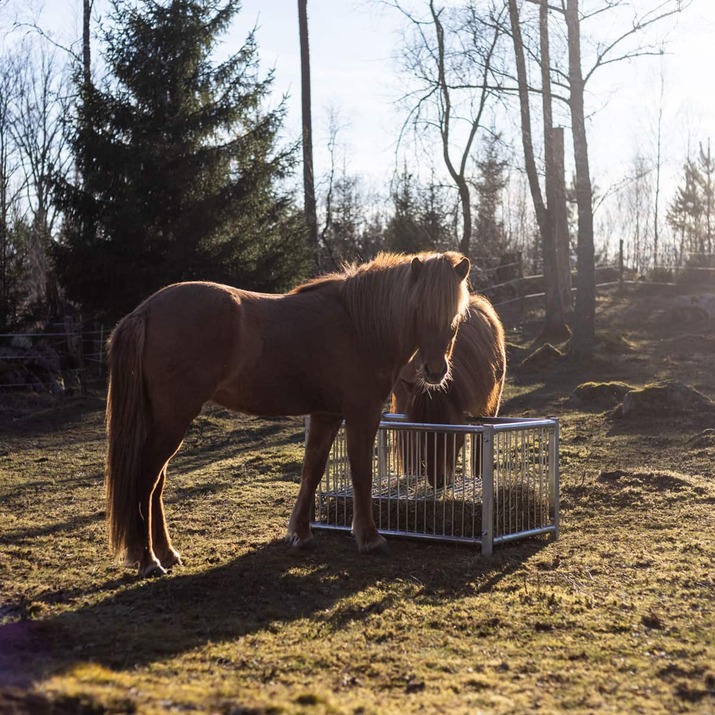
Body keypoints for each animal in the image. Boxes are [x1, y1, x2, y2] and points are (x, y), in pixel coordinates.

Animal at [105, 251, 470, 576]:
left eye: (455, 318)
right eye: (419, 309)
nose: (435, 371)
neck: (359, 326)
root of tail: (146, 311)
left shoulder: (326, 414)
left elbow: (312, 470)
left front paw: (300, 534)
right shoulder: (361, 414)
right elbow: (361, 474)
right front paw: (369, 538)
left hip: (165, 420)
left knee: (157, 483)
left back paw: (167, 553)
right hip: (174, 418)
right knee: (146, 479)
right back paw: (149, 560)